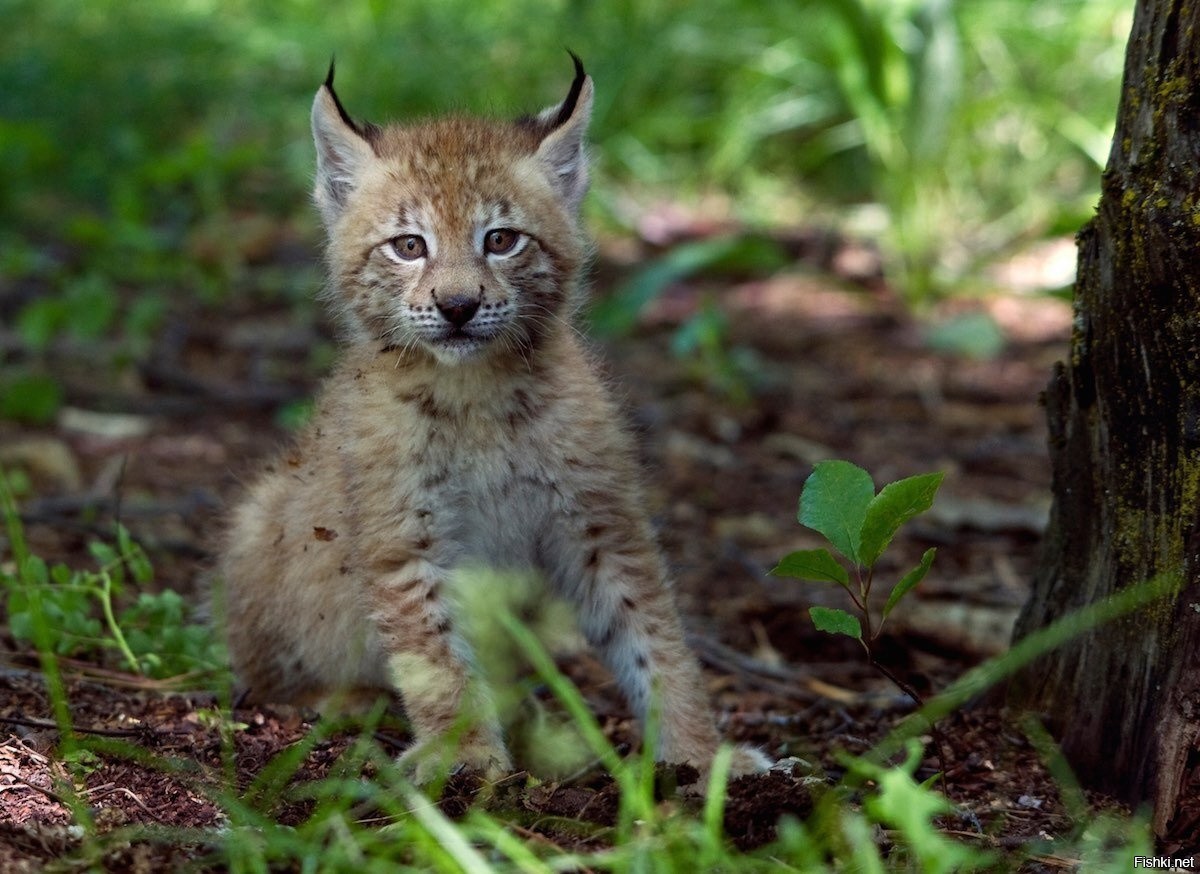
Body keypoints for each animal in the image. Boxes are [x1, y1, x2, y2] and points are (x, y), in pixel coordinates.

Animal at [220, 57, 768, 782]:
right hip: (262, 515)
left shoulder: (601, 518)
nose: (458, 306)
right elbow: (436, 657)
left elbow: (655, 638)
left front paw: (701, 759)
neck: (475, 392)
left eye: (502, 241)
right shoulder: (405, 538)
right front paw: (468, 761)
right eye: (408, 246)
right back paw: (352, 702)